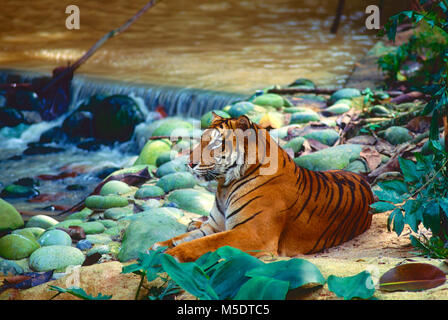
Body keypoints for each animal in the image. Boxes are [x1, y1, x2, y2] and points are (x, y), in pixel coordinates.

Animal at [152, 112, 372, 262]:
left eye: (214, 144)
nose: (188, 163)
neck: (224, 186)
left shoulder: (253, 234)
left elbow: (204, 243)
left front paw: (171, 254)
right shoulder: (215, 226)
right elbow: (186, 237)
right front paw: (159, 245)